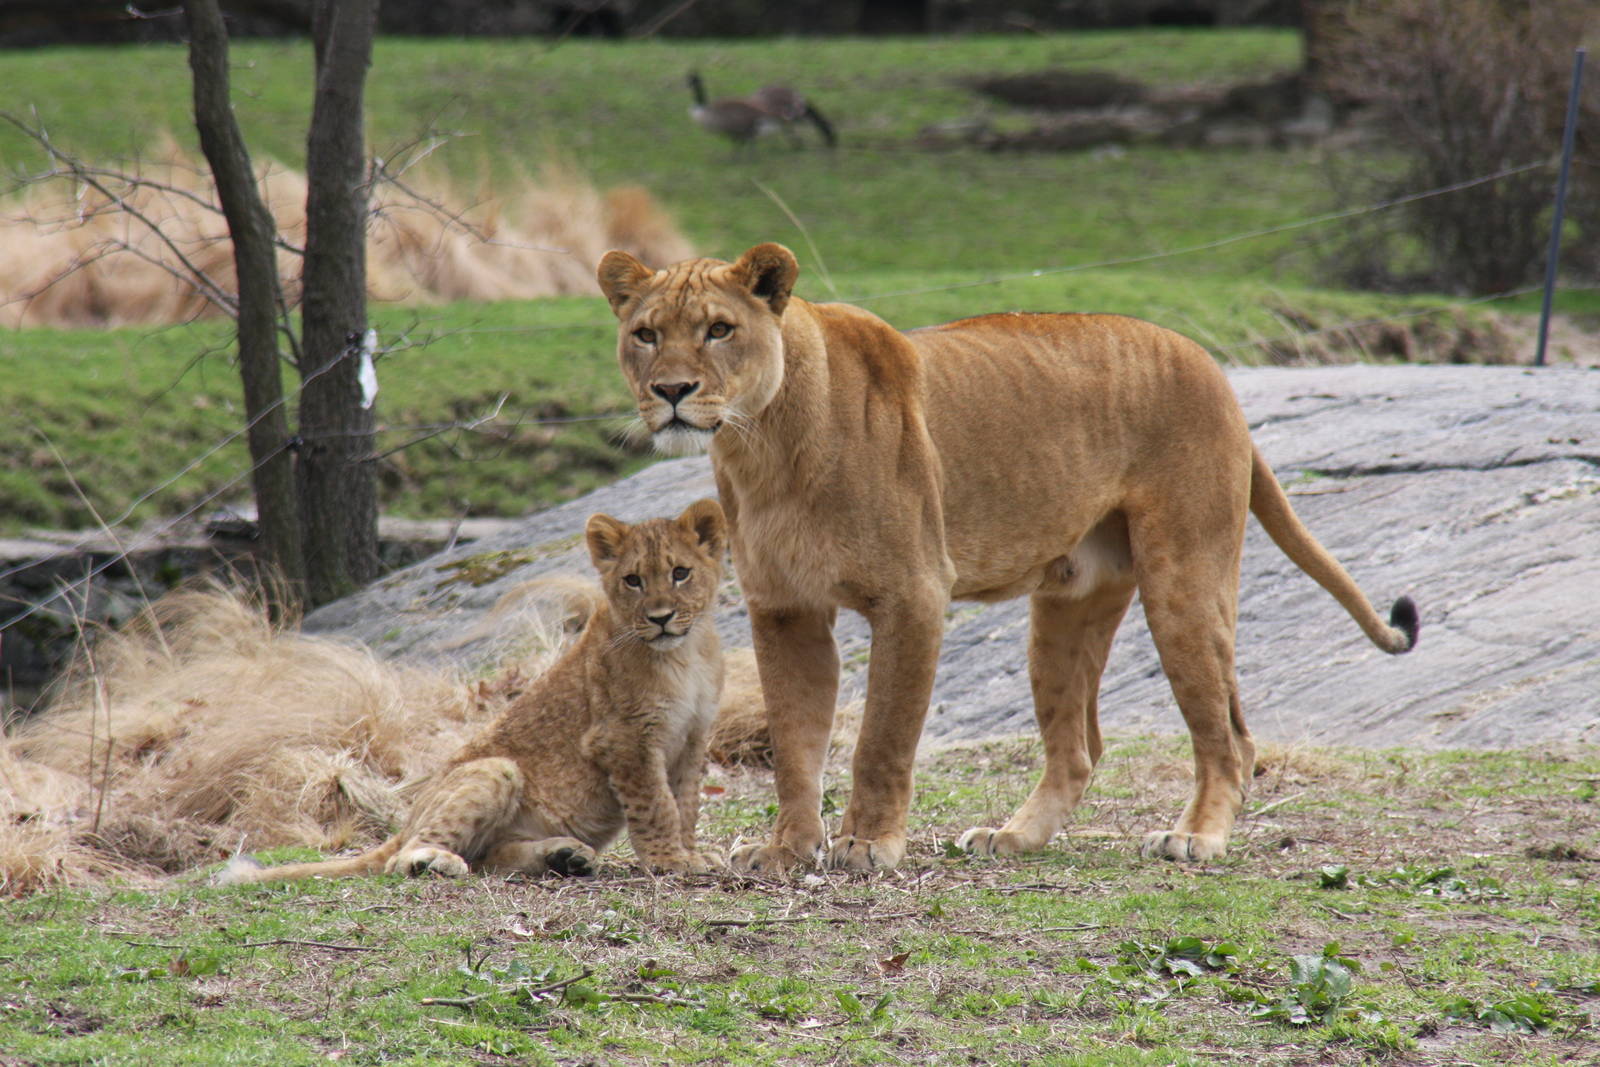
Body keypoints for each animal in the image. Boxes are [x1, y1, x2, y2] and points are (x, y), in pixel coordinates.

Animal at [223, 499, 729, 884]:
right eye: (633, 580)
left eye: (680, 573)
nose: (661, 618)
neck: (685, 656)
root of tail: (407, 820)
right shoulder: (622, 739)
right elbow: (656, 805)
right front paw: (670, 860)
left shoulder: (691, 737)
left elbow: (684, 803)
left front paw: (691, 853)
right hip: (495, 768)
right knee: (401, 859)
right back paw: (437, 861)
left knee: (488, 856)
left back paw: (565, 856)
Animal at [596, 243, 1418, 872]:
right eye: (646, 334)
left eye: (719, 329)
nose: (672, 390)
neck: (763, 444)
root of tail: (1215, 370)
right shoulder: (786, 608)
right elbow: (797, 745)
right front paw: (788, 850)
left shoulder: (914, 595)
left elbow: (882, 736)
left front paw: (868, 845)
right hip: (1067, 605)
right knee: (1079, 746)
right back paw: (1015, 836)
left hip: (1185, 580)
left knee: (1230, 735)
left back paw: (1195, 836)